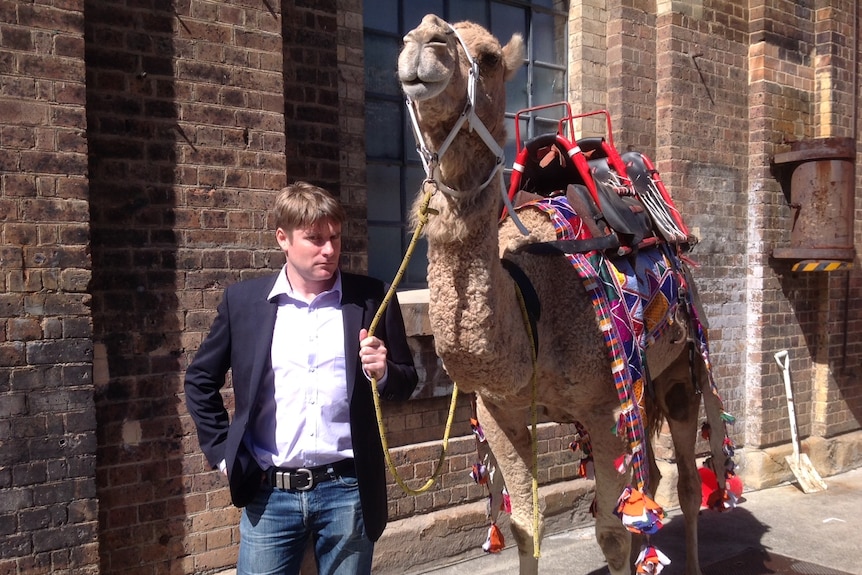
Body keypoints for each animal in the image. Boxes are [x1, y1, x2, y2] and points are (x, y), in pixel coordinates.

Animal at [402, 13, 732, 575]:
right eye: (405, 38)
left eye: (489, 57)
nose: (425, 41)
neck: (529, 302)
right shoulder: (501, 413)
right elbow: (524, 525)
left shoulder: (605, 408)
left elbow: (611, 534)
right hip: (642, 387)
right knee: (655, 477)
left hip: (683, 367)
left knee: (688, 480)